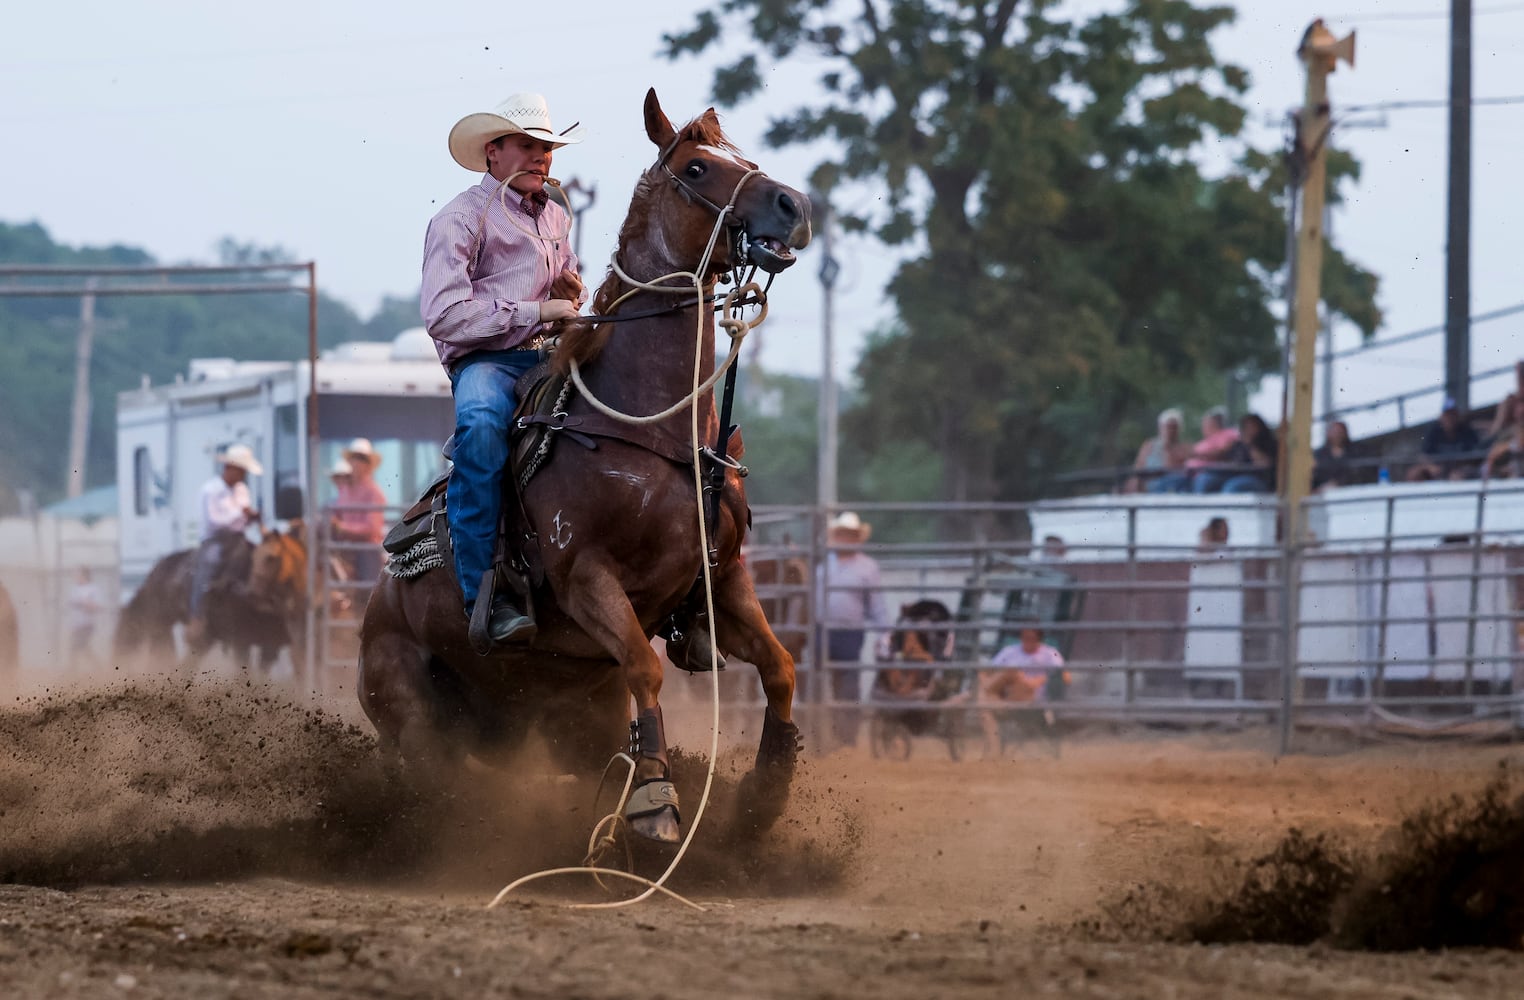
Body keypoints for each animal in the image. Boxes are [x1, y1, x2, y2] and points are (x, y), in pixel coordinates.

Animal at [356, 91, 810, 841]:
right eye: (696, 167)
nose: (793, 204)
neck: (649, 431)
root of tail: (376, 606)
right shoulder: (586, 578)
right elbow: (644, 669)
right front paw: (655, 800)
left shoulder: (725, 577)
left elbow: (780, 666)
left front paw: (767, 793)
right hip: (412, 716)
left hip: (570, 719)